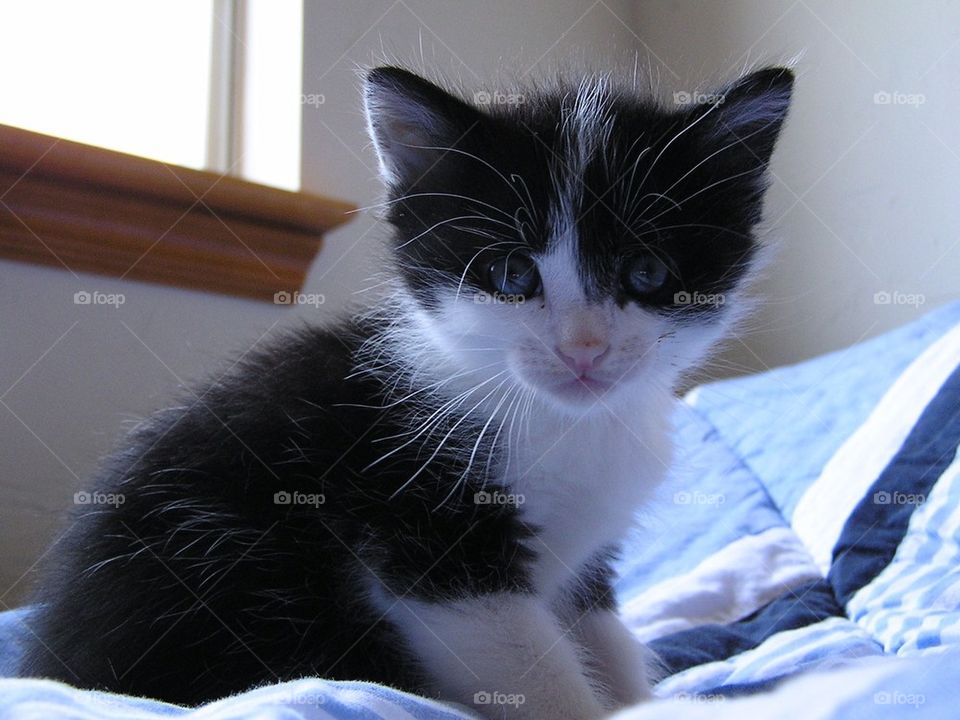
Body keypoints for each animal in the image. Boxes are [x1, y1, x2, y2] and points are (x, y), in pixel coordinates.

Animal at [18, 64, 792, 716]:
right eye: (512, 274)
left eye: (646, 271)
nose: (583, 349)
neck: (562, 421)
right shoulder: (419, 528)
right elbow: (535, 674)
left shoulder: (586, 553)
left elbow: (604, 638)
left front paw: (640, 696)